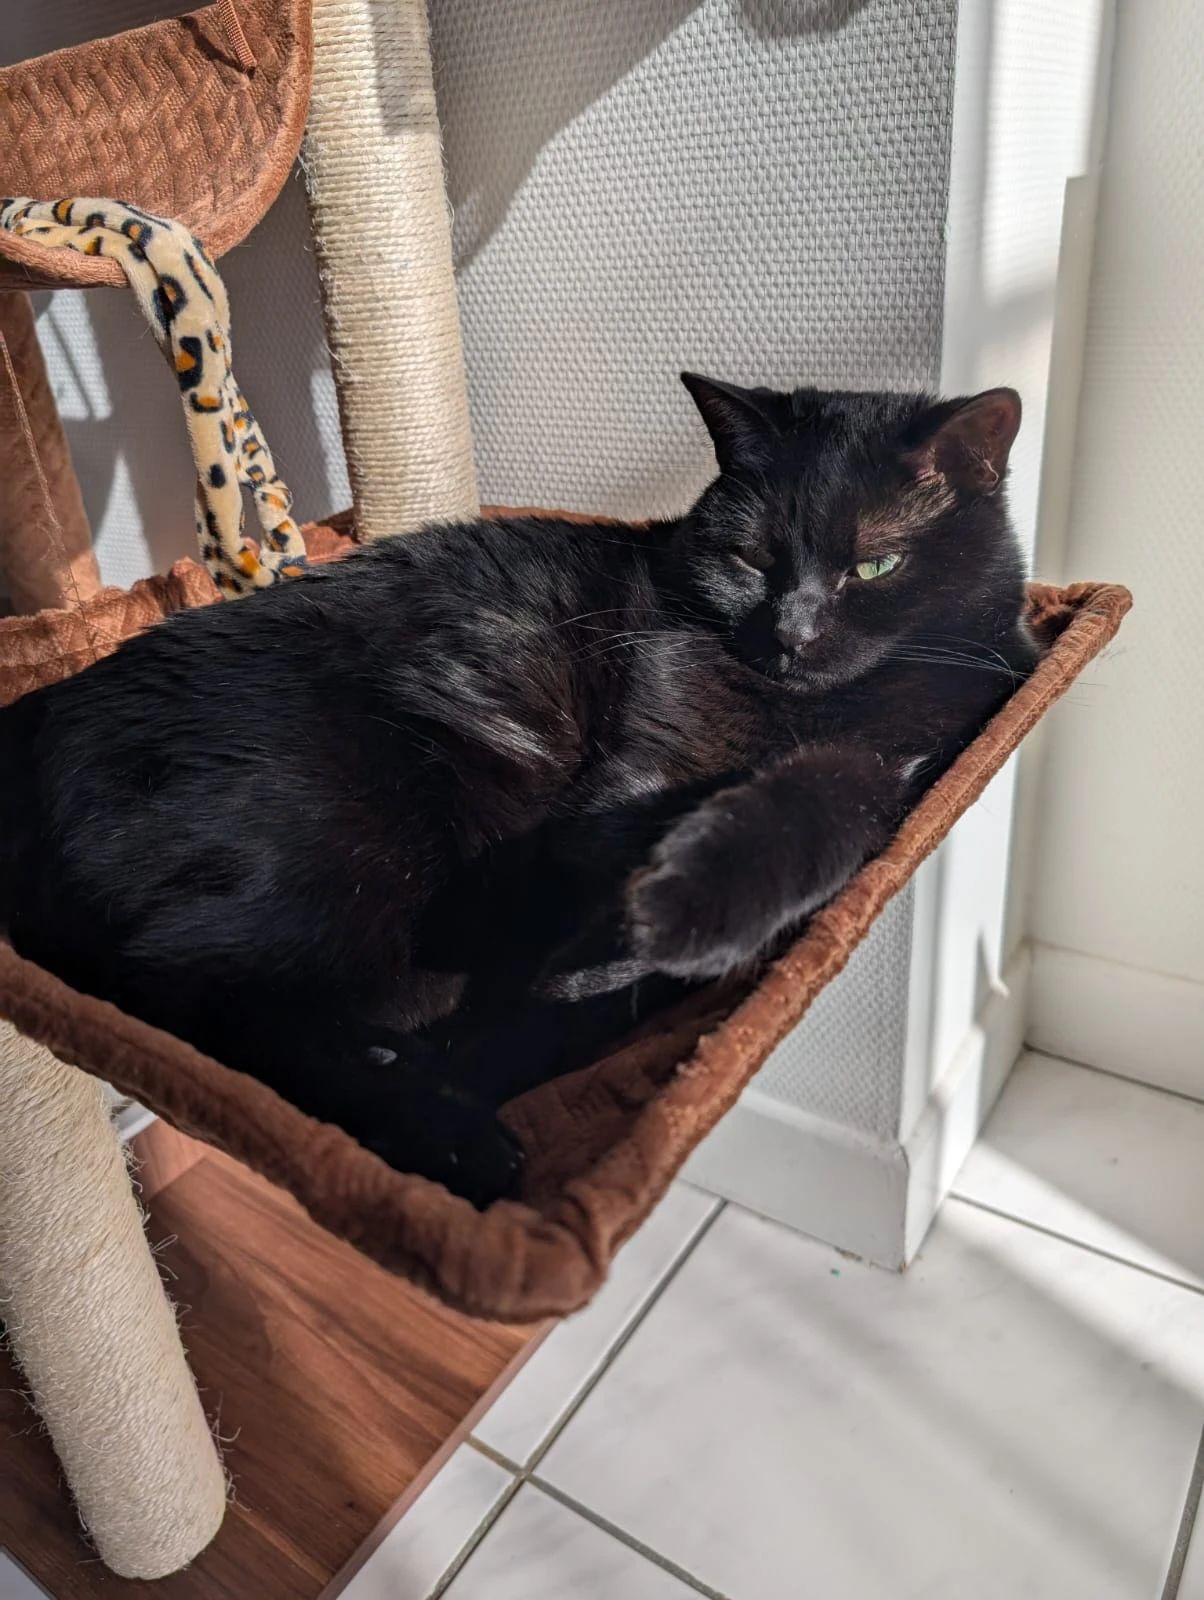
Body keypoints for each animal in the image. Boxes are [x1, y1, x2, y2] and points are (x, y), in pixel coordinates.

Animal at [0, 375, 1038, 1207]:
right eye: (749, 561)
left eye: (875, 564)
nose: (791, 632)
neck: (799, 710)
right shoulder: (629, 776)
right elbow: (606, 889)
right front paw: (621, 947)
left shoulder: (916, 759)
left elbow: (823, 811)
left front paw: (667, 926)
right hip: (331, 832)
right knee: (188, 986)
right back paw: (456, 1136)